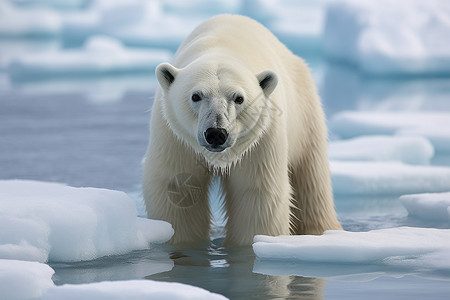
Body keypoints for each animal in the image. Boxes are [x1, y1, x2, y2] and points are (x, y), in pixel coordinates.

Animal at [143, 14, 342, 246]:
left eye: (239, 98)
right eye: (196, 96)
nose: (216, 133)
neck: (221, 46)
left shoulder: (262, 138)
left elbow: (257, 193)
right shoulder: (174, 137)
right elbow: (178, 187)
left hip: (304, 113)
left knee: (311, 177)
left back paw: (322, 231)